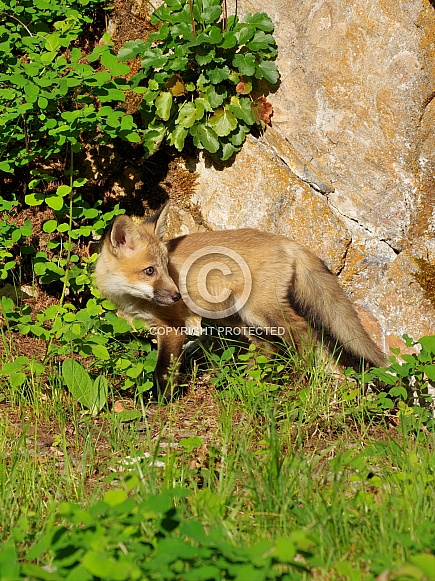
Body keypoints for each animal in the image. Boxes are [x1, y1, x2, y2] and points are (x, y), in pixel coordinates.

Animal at [94, 202, 384, 396]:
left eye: (166, 268)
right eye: (150, 271)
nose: (177, 295)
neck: (132, 298)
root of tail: (287, 242)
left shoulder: (173, 328)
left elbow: (163, 370)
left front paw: (159, 400)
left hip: (261, 312)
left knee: (304, 332)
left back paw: (309, 372)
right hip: (236, 318)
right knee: (268, 346)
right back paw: (252, 379)